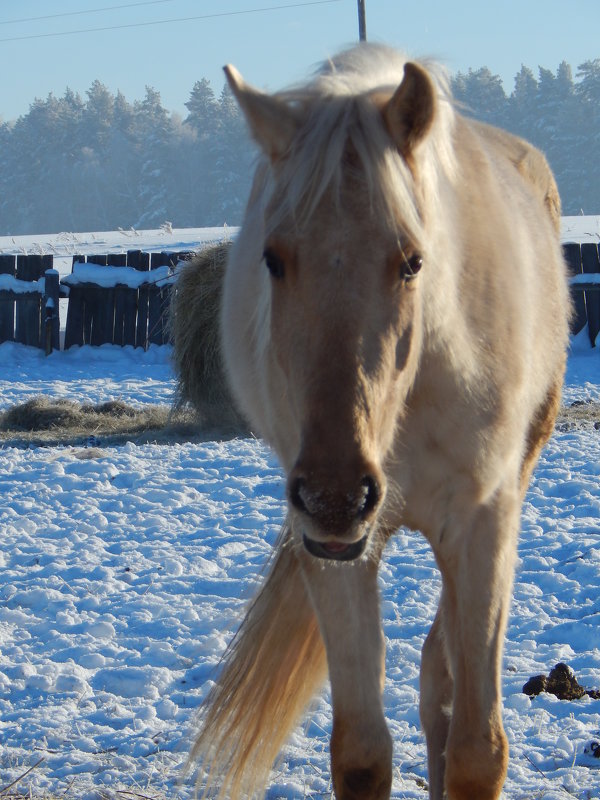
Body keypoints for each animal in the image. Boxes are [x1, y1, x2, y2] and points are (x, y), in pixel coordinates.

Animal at [186, 43, 568, 800]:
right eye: (273, 258)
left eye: (412, 261)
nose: (336, 496)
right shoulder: (334, 556)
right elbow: (362, 752)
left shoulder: (483, 528)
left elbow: (478, 750)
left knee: (441, 676)